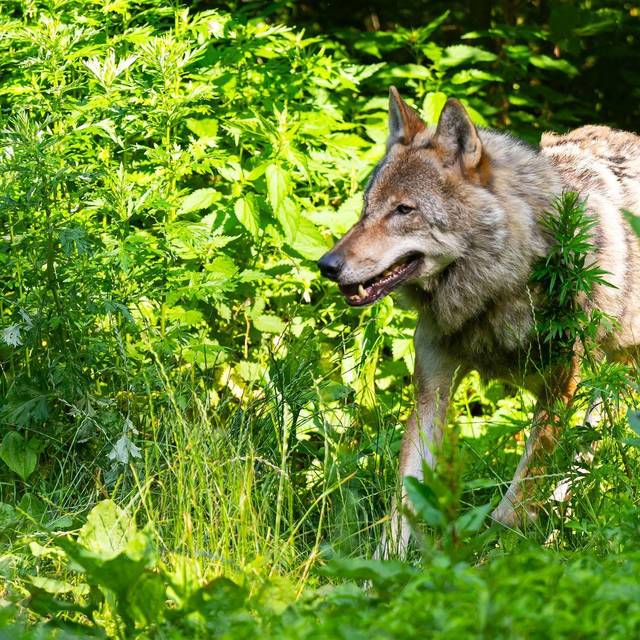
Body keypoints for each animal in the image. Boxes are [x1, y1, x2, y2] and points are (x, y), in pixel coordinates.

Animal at [317, 87, 640, 555]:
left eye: (404, 210)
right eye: (366, 209)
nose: (327, 265)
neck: (495, 292)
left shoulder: (559, 392)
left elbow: (513, 506)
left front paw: (499, 560)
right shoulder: (432, 391)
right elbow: (402, 506)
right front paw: (376, 571)